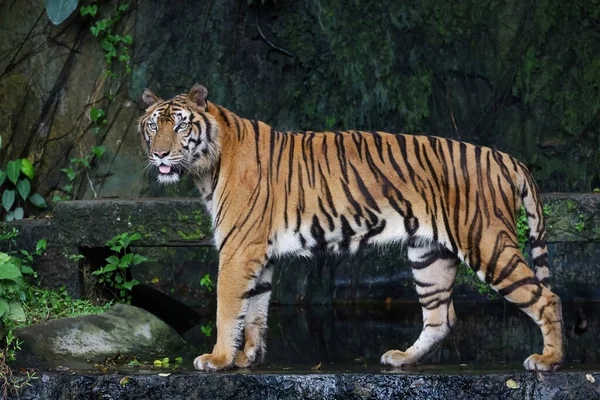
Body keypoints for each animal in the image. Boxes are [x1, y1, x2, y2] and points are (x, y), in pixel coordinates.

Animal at [139, 83, 564, 372]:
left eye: (181, 127)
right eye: (152, 128)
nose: (159, 154)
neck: (206, 167)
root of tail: (504, 156)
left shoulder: (238, 249)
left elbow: (228, 308)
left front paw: (218, 358)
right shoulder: (259, 253)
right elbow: (256, 309)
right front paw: (248, 358)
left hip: (487, 243)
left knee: (546, 297)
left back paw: (548, 360)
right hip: (429, 255)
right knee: (441, 318)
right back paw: (402, 357)